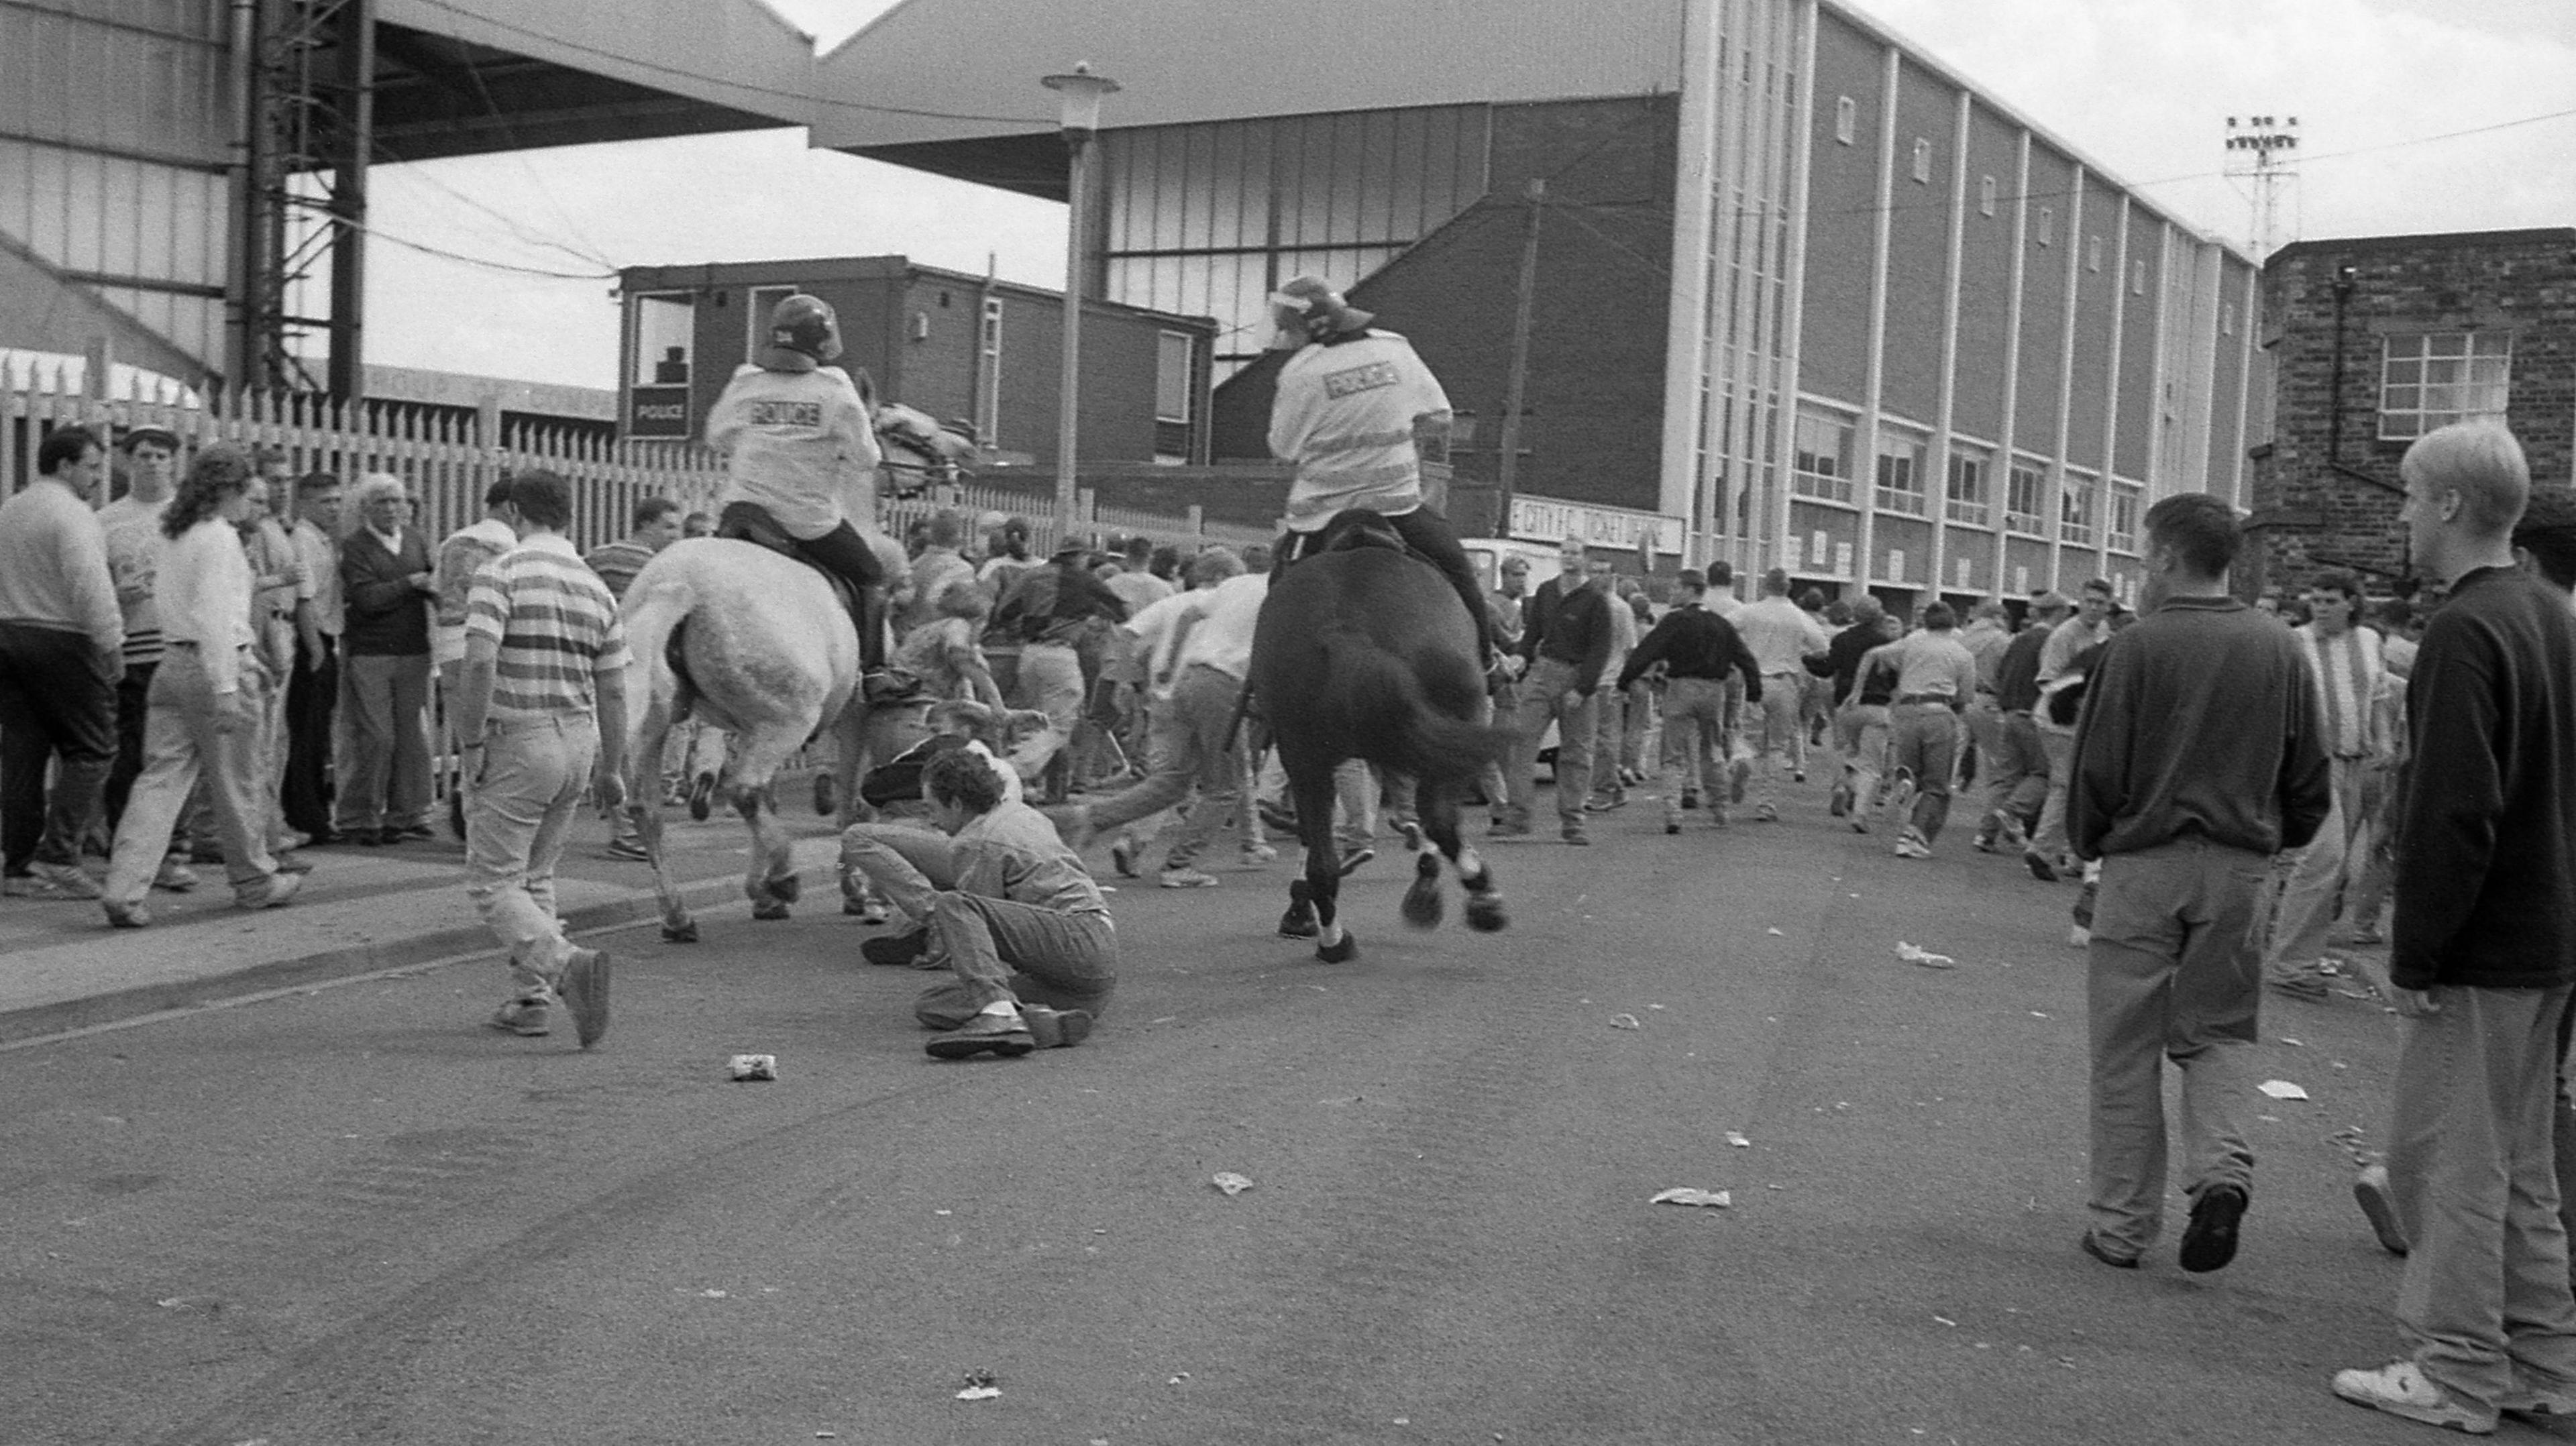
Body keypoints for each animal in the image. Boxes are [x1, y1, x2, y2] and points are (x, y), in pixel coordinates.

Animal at [615, 531, 917, 938]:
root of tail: (678, 582)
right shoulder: (855, 717)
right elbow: (853, 805)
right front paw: (855, 890)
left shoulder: (752, 726)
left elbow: (773, 802)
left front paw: (763, 895)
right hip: (788, 721)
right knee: (744, 790)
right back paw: (784, 876)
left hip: (661, 722)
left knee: (647, 809)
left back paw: (678, 915)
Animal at [1246, 518, 1504, 958]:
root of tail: (1345, 624)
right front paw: (1430, 885)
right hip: (1454, 721)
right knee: (1438, 816)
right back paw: (1481, 898)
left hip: (1304, 751)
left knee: (1322, 861)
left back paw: (1333, 940)